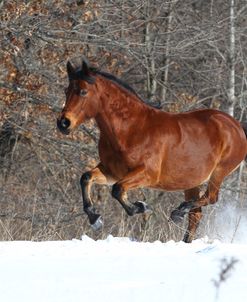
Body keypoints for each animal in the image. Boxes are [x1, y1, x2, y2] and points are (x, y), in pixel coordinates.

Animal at [56, 58, 247, 243]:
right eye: (66, 90)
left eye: (83, 91)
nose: (63, 123)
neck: (131, 128)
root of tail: (236, 126)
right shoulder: (112, 172)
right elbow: (86, 178)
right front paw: (95, 218)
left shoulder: (147, 174)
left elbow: (117, 189)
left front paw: (140, 206)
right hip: (192, 181)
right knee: (196, 214)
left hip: (218, 173)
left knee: (210, 198)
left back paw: (177, 212)